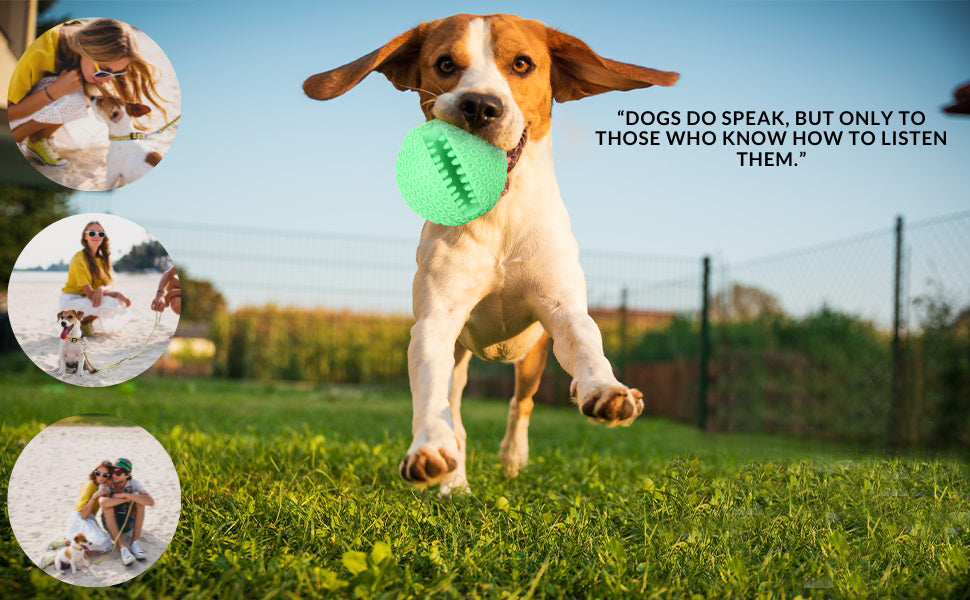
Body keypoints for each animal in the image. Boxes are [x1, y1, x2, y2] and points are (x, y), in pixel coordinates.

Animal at [306, 14, 676, 494]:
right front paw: (429, 450)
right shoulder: (436, 322)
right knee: (456, 412)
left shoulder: (561, 308)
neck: (498, 219)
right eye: (445, 64)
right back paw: (455, 480)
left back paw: (515, 456)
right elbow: (432, 395)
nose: (480, 105)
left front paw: (605, 391)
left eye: (522, 64)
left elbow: (586, 345)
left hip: (533, 357)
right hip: (461, 358)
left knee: (522, 404)